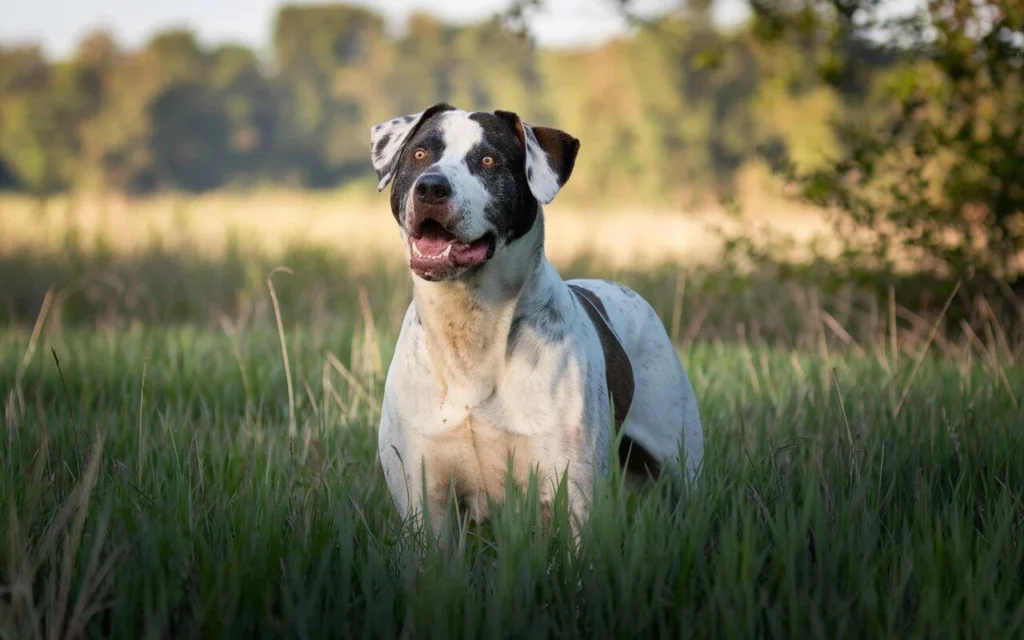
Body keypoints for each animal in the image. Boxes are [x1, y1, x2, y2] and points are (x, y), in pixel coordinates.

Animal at [370, 102, 704, 536]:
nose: (431, 187)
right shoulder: (423, 502)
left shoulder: (573, 495)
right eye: (419, 154)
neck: (468, 324)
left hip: (678, 461)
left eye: (489, 160)